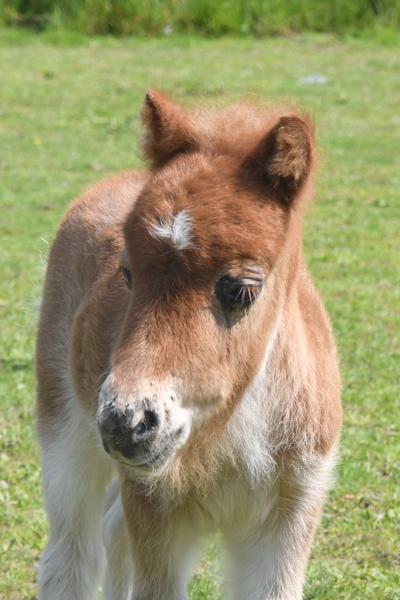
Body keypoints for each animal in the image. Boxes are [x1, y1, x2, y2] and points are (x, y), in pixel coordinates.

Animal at [36, 90, 340, 600]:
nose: (125, 422)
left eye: (242, 290)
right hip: (63, 427)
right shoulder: (154, 511)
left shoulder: (292, 512)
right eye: (127, 273)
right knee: (72, 553)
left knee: (113, 533)